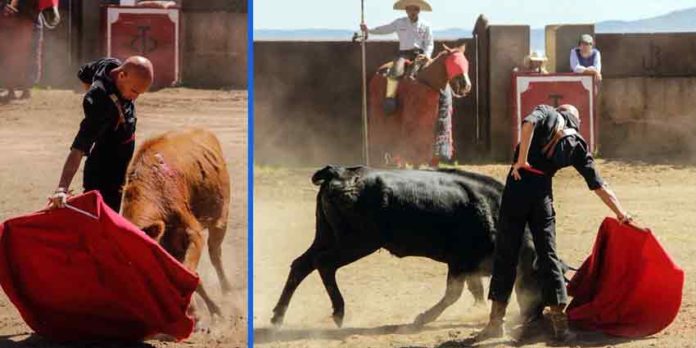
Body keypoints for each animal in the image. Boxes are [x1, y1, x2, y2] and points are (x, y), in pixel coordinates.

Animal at [123, 128, 234, 328]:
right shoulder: (167, 244)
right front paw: (200, 312)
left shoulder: (193, 232)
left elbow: (189, 270)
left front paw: (203, 312)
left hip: (221, 218)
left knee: (215, 254)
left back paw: (228, 292)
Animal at [270, 167, 564, 328]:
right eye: (540, 279)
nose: (533, 317)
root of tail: (338, 172)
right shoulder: (460, 262)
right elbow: (454, 293)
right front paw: (422, 318)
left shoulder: (468, 265)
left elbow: (475, 290)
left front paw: (476, 310)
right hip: (356, 243)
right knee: (324, 264)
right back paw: (339, 311)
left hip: (326, 235)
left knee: (302, 264)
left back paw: (278, 317)